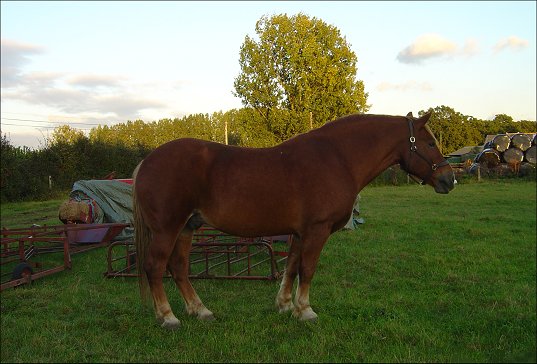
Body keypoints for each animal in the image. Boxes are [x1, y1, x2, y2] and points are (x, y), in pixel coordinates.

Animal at [133, 111, 452, 330]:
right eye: (429, 143)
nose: (449, 180)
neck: (338, 159)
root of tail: (146, 162)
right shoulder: (317, 230)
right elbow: (307, 269)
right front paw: (306, 310)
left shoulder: (299, 233)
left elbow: (291, 267)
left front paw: (286, 305)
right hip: (167, 230)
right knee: (155, 267)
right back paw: (168, 317)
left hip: (187, 227)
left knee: (178, 268)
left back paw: (200, 310)